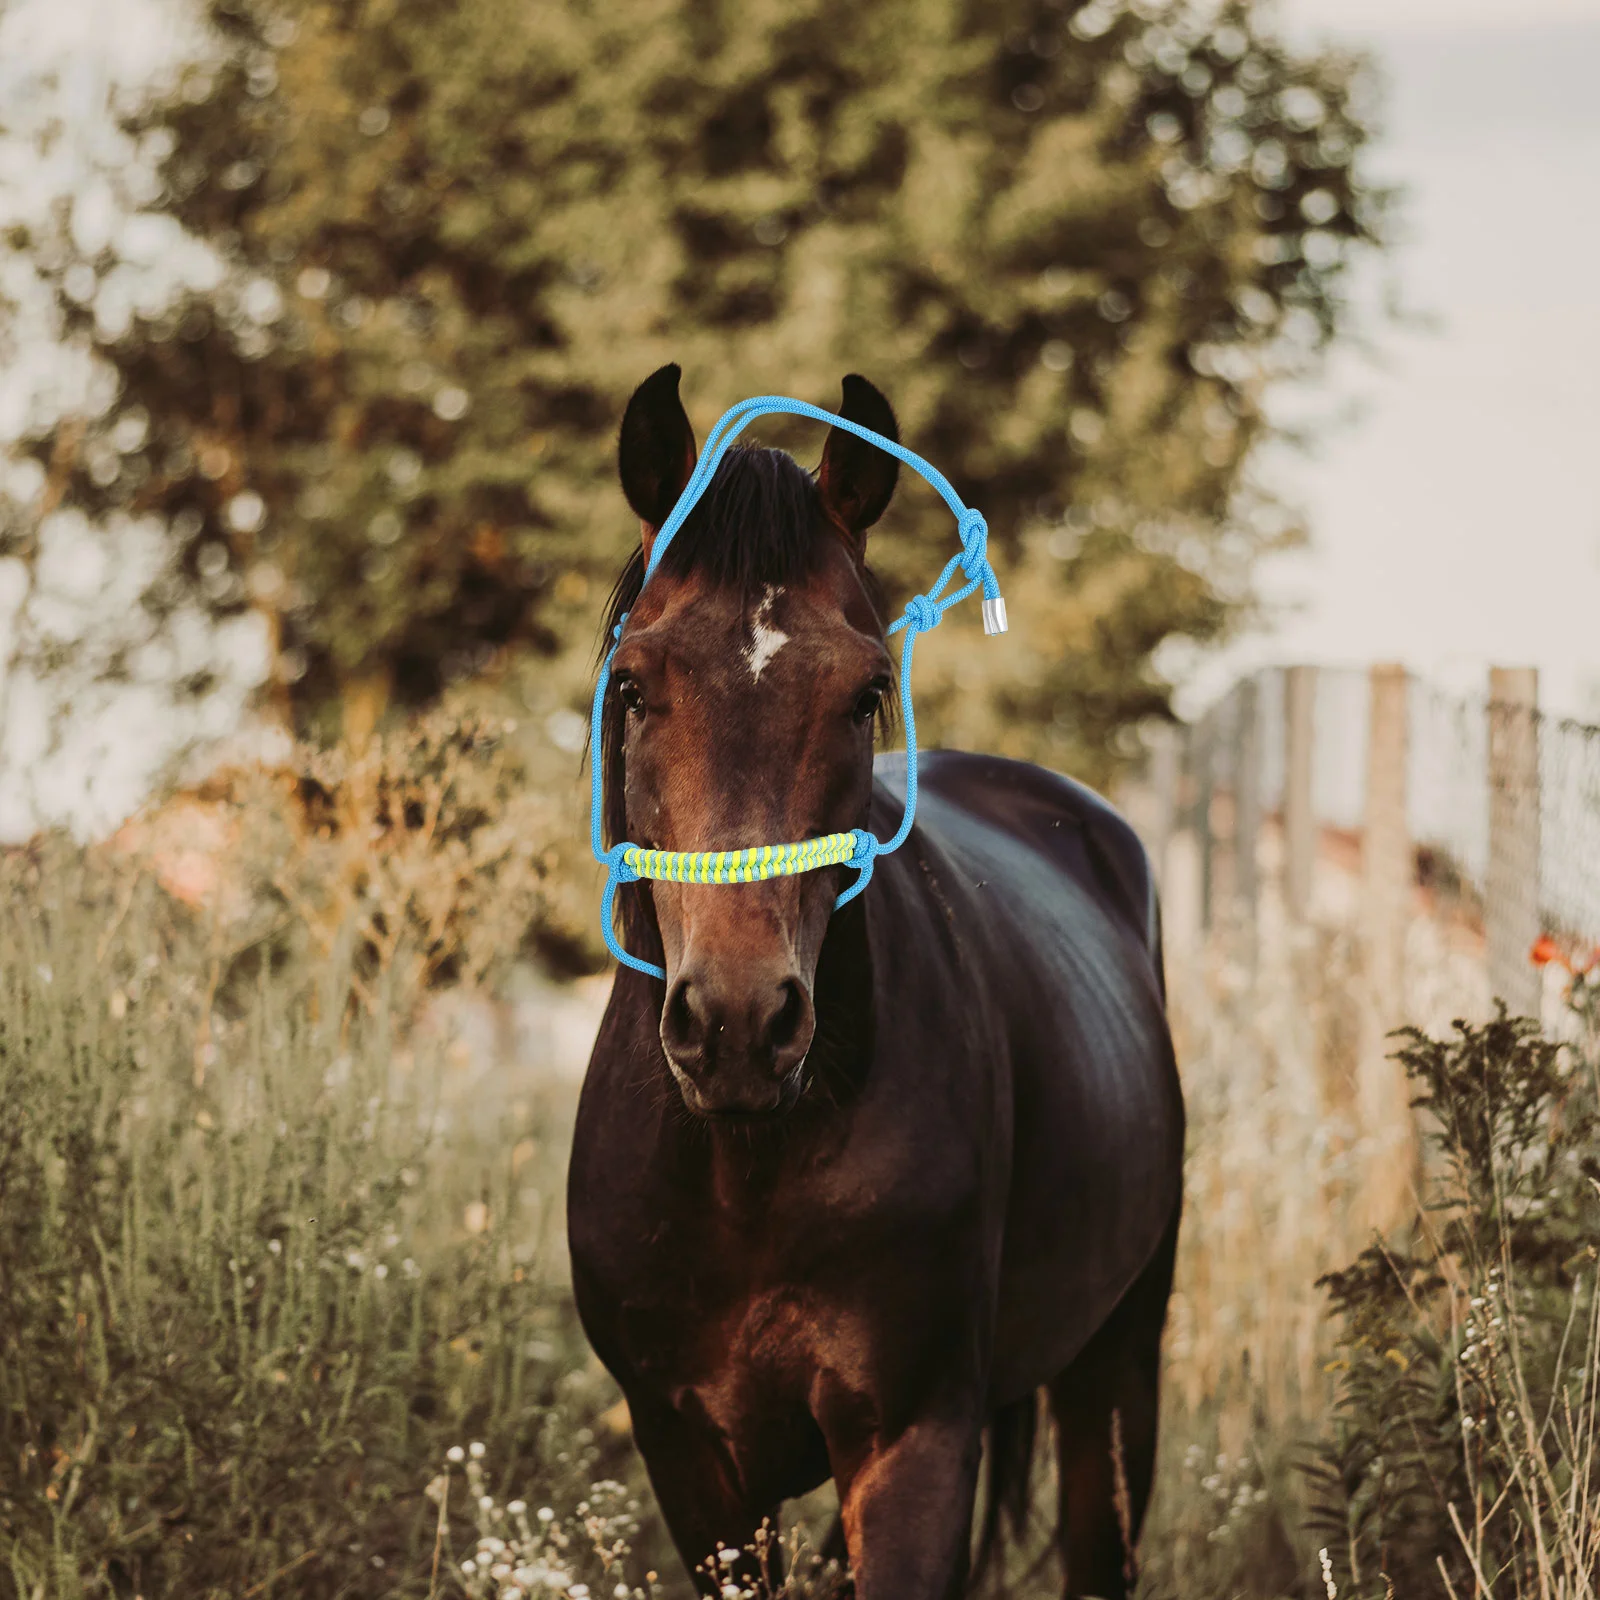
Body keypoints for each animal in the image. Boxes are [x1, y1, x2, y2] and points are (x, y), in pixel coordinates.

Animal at [567, 364, 1185, 1600]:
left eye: (864, 693)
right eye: (634, 686)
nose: (740, 1024)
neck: (746, 1171)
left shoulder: (914, 1444)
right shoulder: (692, 1464)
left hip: (1117, 1368)